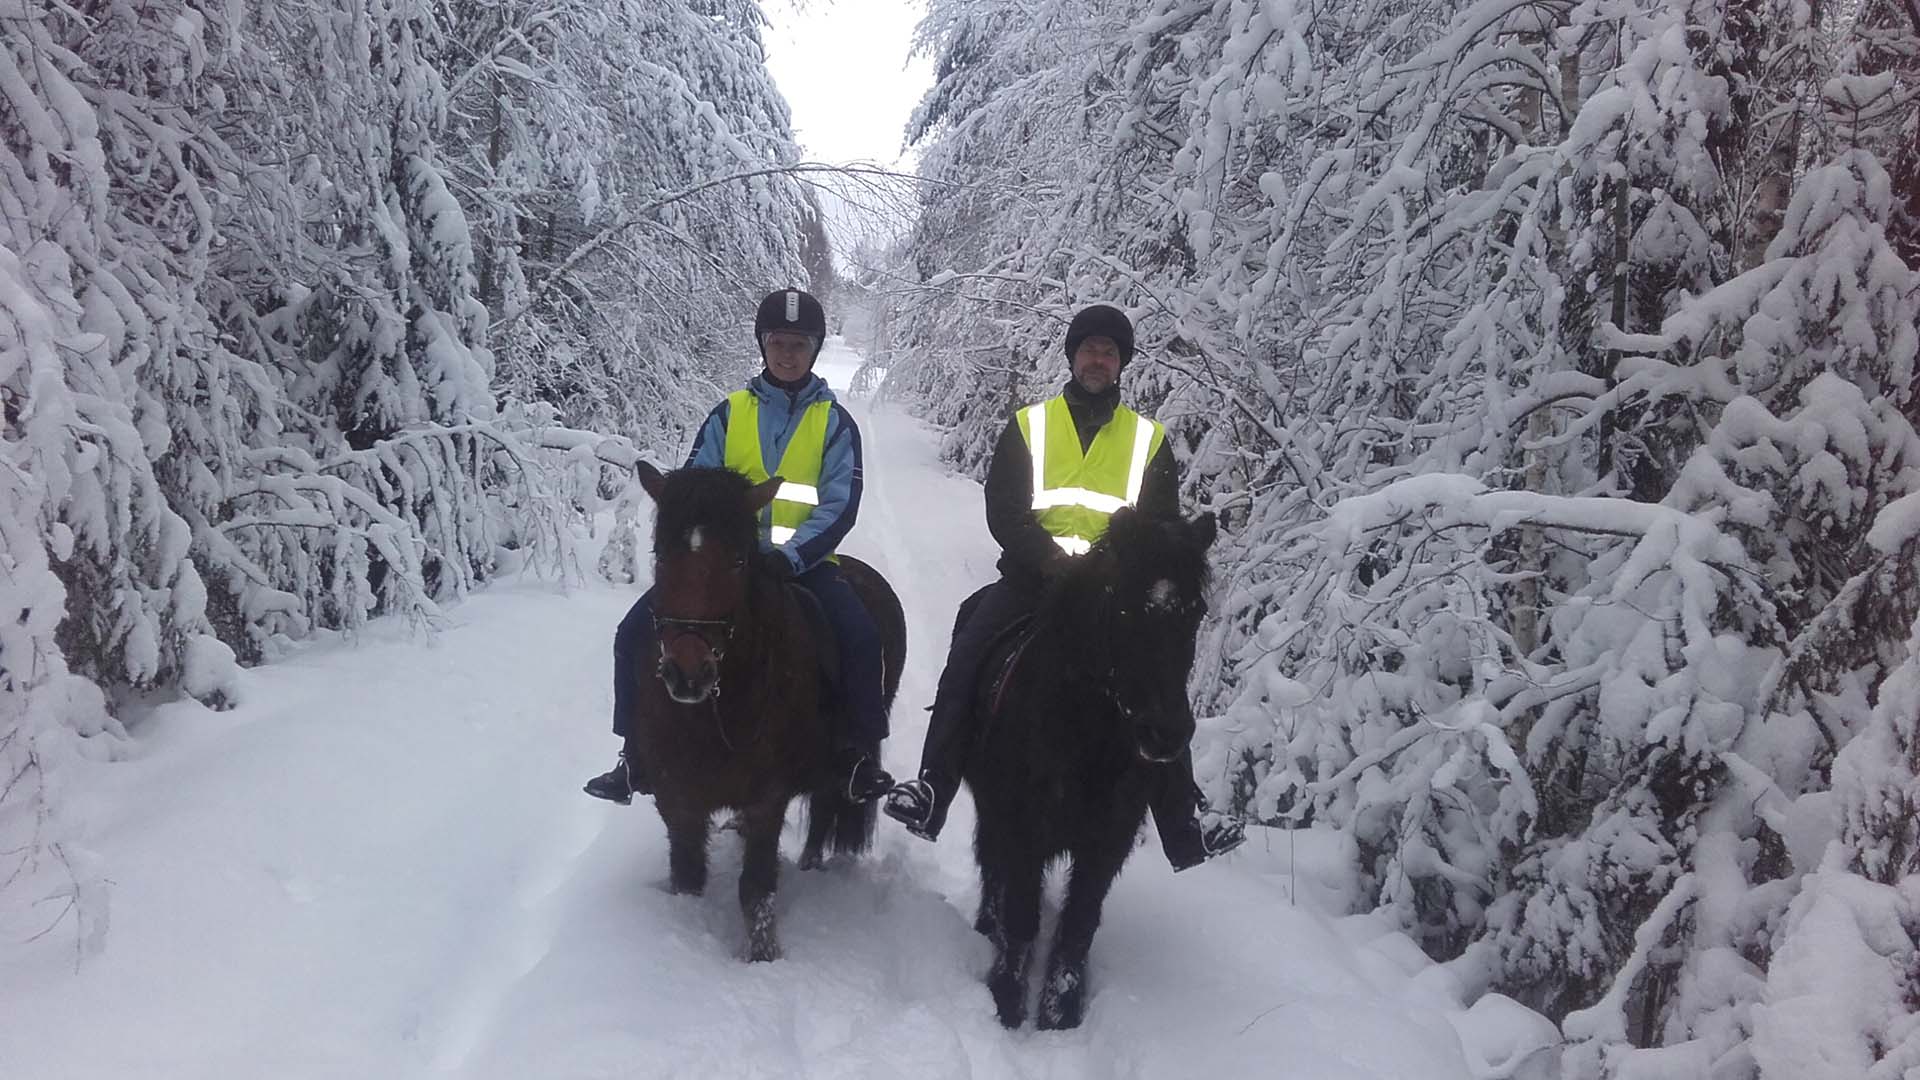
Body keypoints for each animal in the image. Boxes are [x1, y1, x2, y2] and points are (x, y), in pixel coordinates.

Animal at [629, 462, 905, 961]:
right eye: (660, 557)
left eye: (739, 561)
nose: (687, 674)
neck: (713, 715)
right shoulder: (676, 799)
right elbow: (687, 878)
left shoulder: (767, 800)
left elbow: (756, 890)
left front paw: (762, 958)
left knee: (825, 808)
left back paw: (812, 865)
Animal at [964, 507, 1217, 1029]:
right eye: (1123, 608)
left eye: (1196, 611)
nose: (1166, 733)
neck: (1086, 739)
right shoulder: (1023, 831)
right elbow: (1022, 914)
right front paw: (1008, 1001)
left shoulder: (1106, 844)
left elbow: (1078, 925)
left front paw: (1061, 1013)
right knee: (994, 872)